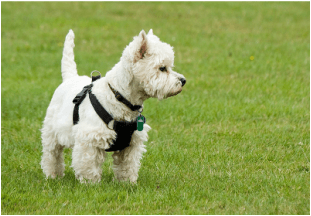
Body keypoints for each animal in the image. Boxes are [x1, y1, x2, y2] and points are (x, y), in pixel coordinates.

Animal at [40, 29, 186, 183]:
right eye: (162, 68)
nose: (183, 81)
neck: (120, 97)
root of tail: (70, 78)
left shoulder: (131, 144)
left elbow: (127, 165)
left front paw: (128, 183)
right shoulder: (90, 139)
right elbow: (89, 165)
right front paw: (90, 184)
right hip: (51, 132)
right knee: (52, 155)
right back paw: (53, 175)